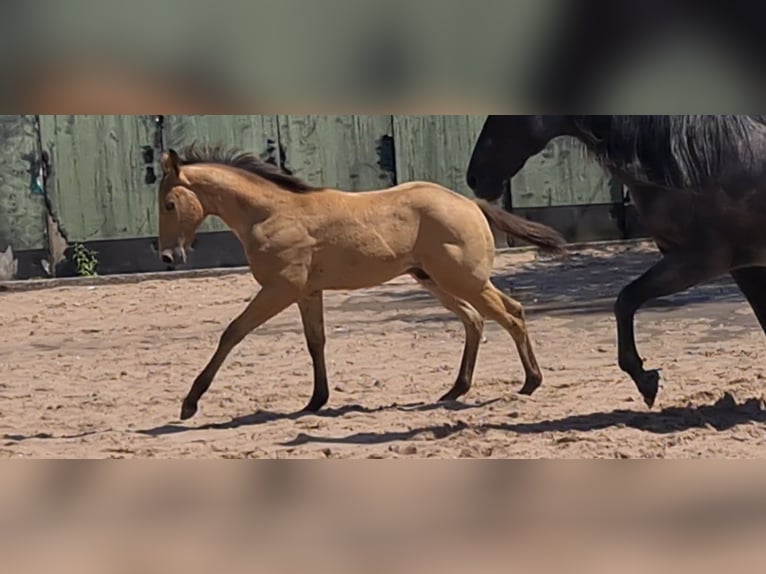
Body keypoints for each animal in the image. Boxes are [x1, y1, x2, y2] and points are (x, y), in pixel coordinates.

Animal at [158, 145, 564, 424]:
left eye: (169, 204)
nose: (167, 257)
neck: (270, 213)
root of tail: (470, 203)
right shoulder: (306, 292)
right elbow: (315, 342)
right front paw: (316, 400)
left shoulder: (280, 289)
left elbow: (233, 332)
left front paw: (190, 403)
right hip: (436, 280)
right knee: (475, 319)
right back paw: (455, 389)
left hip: (464, 279)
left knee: (511, 314)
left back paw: (530, 382)